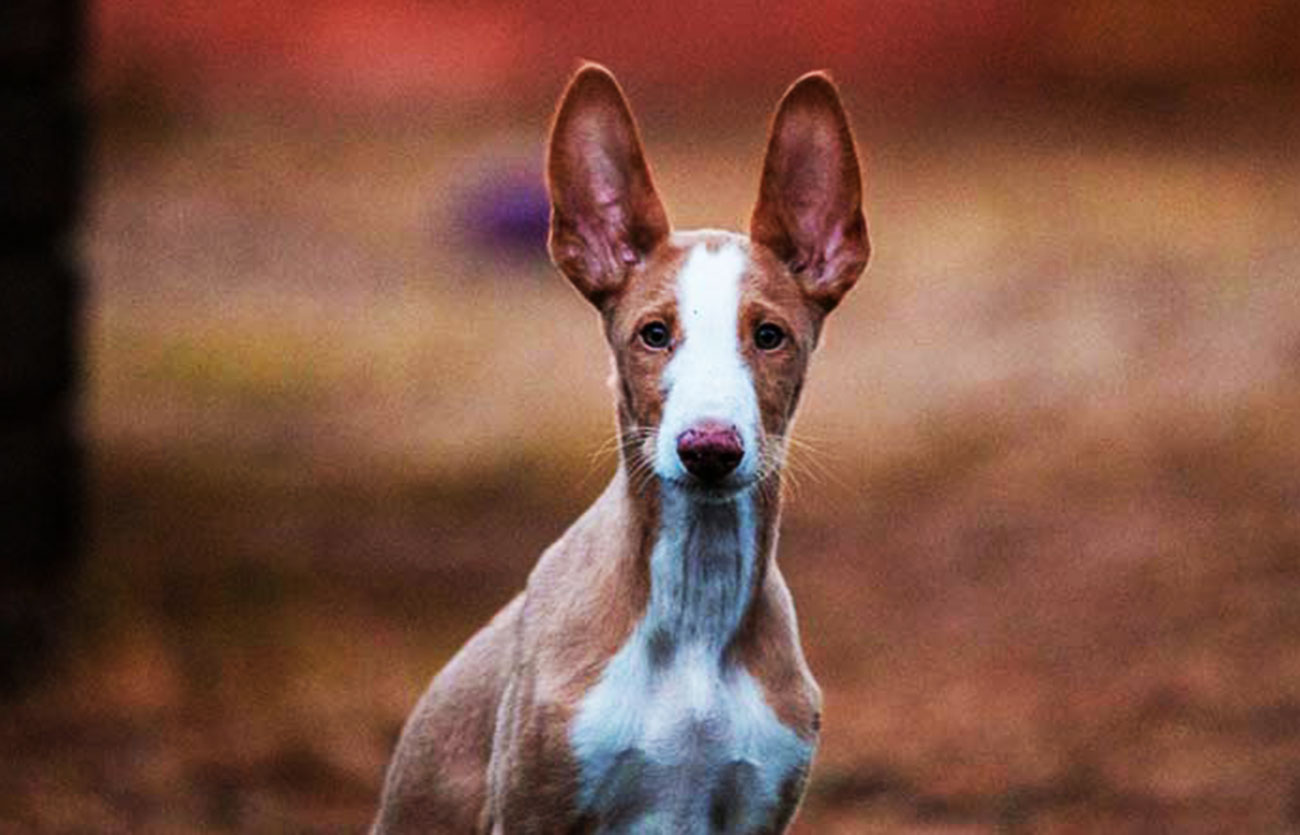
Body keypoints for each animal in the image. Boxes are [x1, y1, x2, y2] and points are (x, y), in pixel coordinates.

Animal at [371, 61, 868, 827]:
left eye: (770, 335)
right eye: (653, 333)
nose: (709, 447)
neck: (695, 602)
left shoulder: (759, 805)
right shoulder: (533, 807)